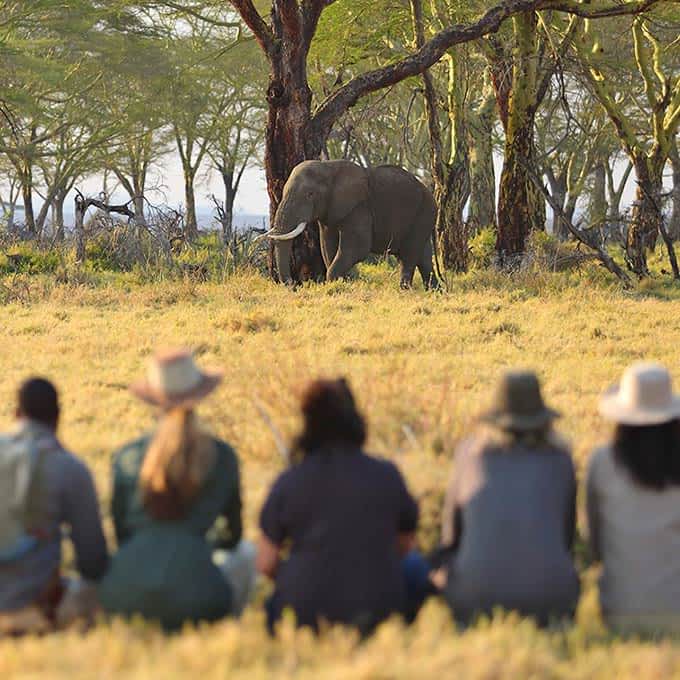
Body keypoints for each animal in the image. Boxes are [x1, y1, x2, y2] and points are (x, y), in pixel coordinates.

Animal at [262, 160, 438, 290]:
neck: (328, 167)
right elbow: (327, 247)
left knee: (409, 255)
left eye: (310, 194)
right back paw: (435, 291)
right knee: (424, 258)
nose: (293, 285)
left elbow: (358, 248)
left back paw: (404, 290)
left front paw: (336, 284)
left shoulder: (359, 207)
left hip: (423, 212)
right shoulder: (329, 213)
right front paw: (342, 284)